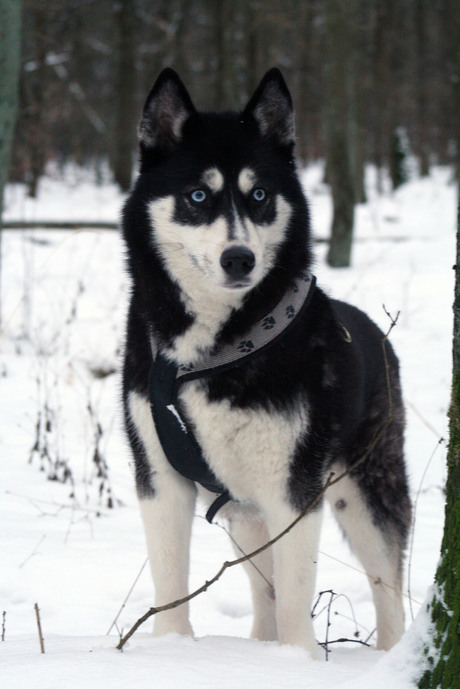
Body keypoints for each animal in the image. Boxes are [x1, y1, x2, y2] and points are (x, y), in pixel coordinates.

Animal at [120, 68, 412, 656]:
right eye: (198, 195)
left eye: (258, 194)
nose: (240, 259)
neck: (215, 349)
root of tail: (376, 336)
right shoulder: (159, 475)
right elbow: (171, 580)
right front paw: (169, 650)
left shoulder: (292, 489)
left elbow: (298, 596)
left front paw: (297, 661)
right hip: (245, 510)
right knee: (263, 591)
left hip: (367, 491)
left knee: (387, 587)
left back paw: (391, 657)